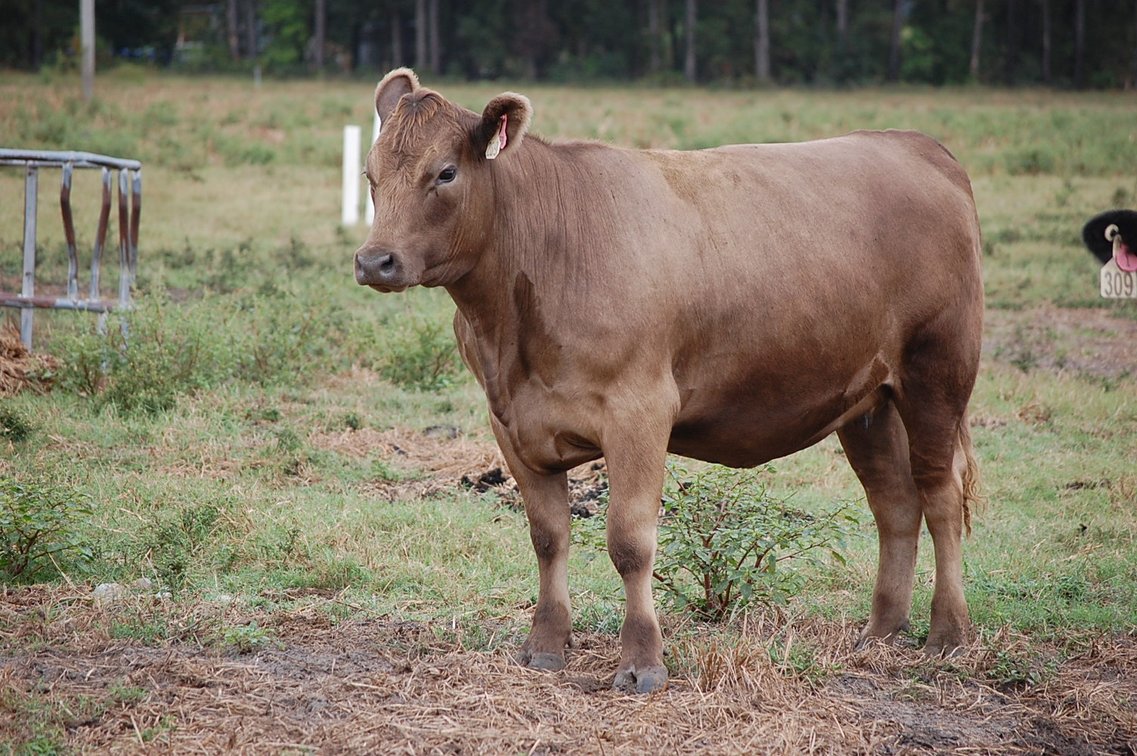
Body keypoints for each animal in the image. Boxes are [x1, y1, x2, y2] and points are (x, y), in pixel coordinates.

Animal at [354, 69, 984, 693]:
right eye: (370, 174)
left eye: (446, 172)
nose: (374, 260)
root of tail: (914, 144)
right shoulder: (512, 422)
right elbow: (548, 536)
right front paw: (545, 645)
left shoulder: (640, 412)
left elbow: (630, 542)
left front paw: (642, 662)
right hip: (868, 400)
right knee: (894, 501)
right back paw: (880, 632)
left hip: (937, 373)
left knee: (940, 496)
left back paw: (947, 635)